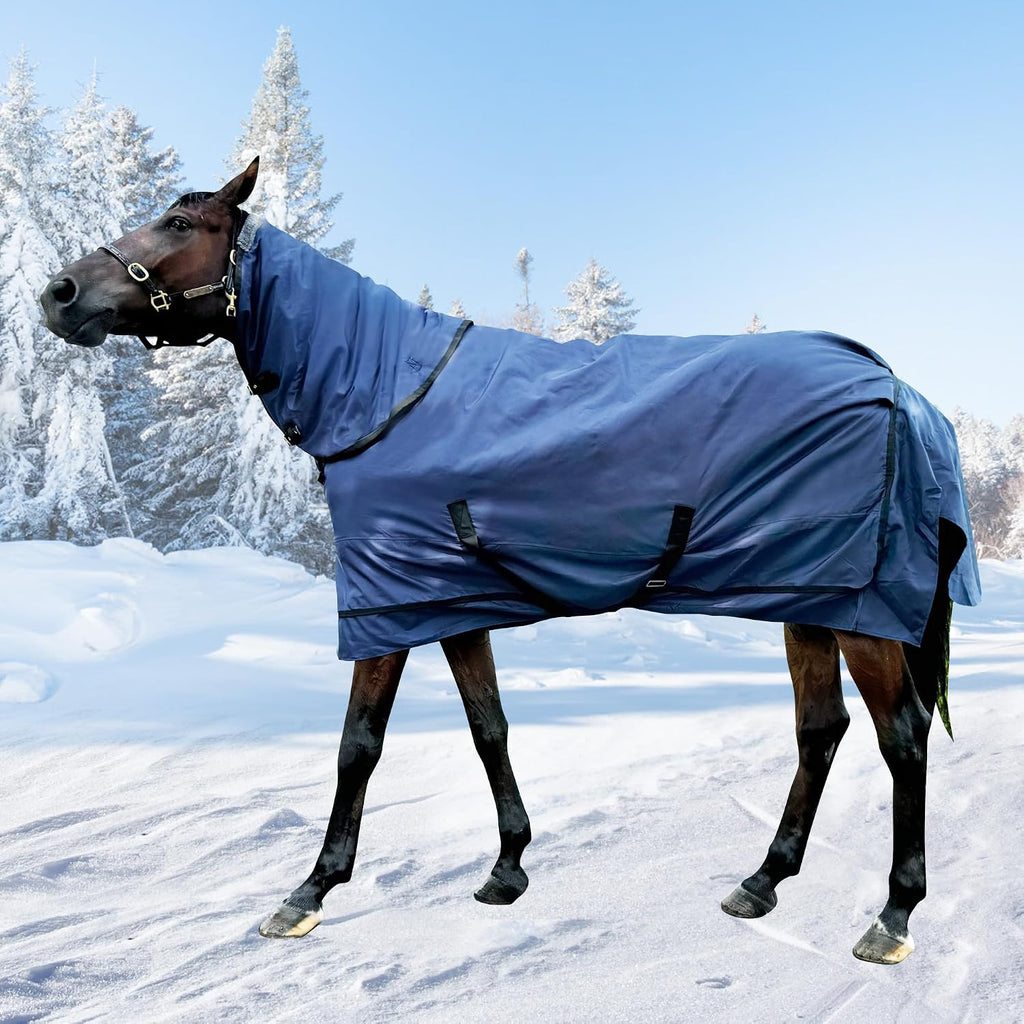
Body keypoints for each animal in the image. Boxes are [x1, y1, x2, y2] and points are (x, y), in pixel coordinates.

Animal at [39, 157, 980, 965]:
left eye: (178, 222)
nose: (58, 293)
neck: (386, 393)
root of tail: (901, 390)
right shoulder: (448, 601)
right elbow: (486, 725)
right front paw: (508, 867)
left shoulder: (386, 606)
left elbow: (357, 744)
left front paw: (310, 890)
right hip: (810, 597)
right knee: (821, 730)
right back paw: (761, 881)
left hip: (861, 612)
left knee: (901, 739)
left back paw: (893, 914)